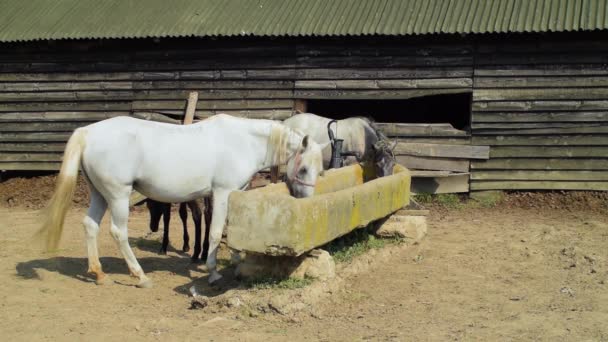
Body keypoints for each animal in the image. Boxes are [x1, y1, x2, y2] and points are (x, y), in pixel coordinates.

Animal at [35, 113, 326, 288]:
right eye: (302, 169)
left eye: (319, 169)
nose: (306, 202)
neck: (242, 142)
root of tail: (87, 132)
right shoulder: (221, 193)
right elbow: (216, 232)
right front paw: (212, 272)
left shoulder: (235, 193)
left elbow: (231, 228)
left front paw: (235, 262)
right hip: (118, 196)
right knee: (118, 232)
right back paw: (139, 275)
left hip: (100, 194)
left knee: (90, 226)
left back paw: (98, 273)